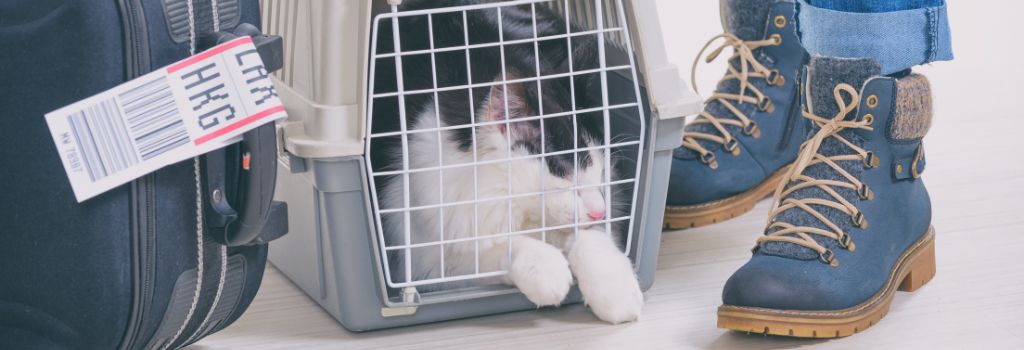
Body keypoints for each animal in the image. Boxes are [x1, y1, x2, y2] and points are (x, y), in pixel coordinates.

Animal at [378, 0, 638, 323]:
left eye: (600, 172)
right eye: (564, 173)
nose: (599, 212)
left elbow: (590, 238)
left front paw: (616, 291)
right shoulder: (429, 255)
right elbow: (489, 249)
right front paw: (548, 270)